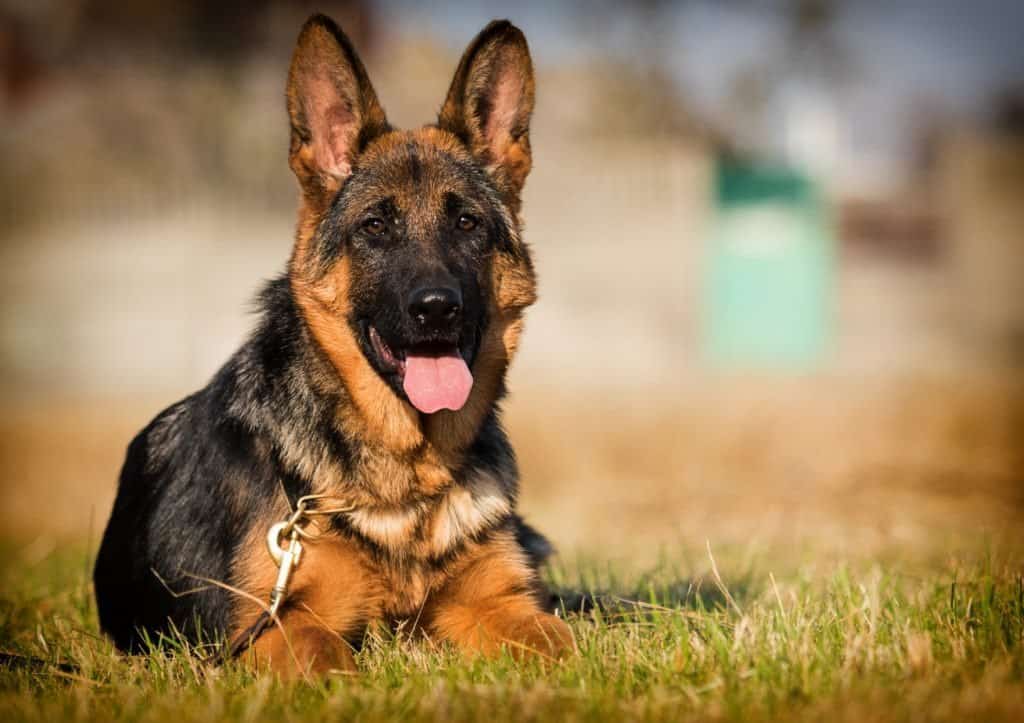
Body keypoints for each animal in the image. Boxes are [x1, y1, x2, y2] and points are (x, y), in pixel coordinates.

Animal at [94, 14, 577, 671]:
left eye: (467, 223)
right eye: (375, 226)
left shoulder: (502, 605)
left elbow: (567, 643)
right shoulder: (272, 626)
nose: (436, 309)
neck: (409, 484)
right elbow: (326, 656)